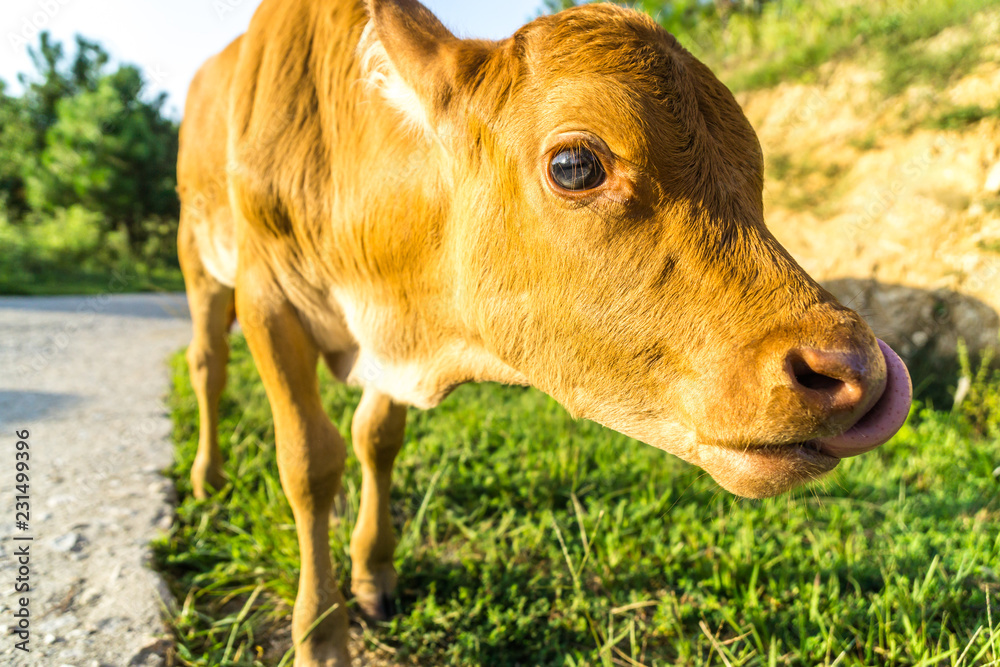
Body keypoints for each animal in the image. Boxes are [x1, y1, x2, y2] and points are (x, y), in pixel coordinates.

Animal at [176, 2, 912, 664]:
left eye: (754, 175)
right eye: (575, 165)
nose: (856, 365)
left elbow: (376, 438)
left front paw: (373, 573)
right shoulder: (268, 302)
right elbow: (309, 463)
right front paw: (321, 635)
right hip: (200, 263)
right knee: (208, 363)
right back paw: (207, 478)